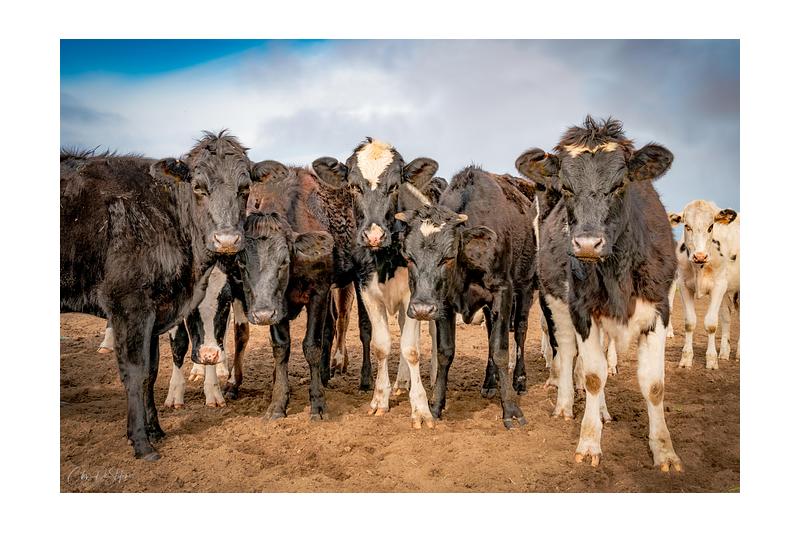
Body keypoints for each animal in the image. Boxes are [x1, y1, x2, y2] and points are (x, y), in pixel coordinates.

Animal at [60, 131, 267, 460]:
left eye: (244, 188)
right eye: (198, 187)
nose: (226, 240)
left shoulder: (156, 311)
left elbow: (151, 370)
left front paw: (155, 429)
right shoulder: (130, 306)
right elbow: (135, 371)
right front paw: (141, 442)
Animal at [313, 138, 439, 429]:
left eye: (394, 186)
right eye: (354, 186)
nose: (373, 235)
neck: (385, 259)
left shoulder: (413, 296)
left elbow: (411, 348)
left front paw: (421, 409)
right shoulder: (366, 290)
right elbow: (382, 345)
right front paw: (380, 398)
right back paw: (401, 382)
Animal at [394, 166, 537, 428]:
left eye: (448, 257)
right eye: (408, 257)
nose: (422, 310)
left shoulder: (503, 291)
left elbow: (500, 350)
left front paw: (511, 409)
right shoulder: (443, 303)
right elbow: (445, 352)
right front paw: (435, 406)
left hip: (526, 285)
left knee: (520, 330)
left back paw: (519, 380)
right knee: (490, 332)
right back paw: (489, 383)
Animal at [516, 116, 682, 471]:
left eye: (621, 184)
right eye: (566, 187)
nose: (587, 244)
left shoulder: (659, 311)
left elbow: (654, 385)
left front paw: (664, 450)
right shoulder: (582, 311)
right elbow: (594, 376)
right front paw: (589, 442)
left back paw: (603, 410)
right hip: (555, 301)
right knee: (567, 351)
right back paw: (565, 403)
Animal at [670, 201, 740, 369]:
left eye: (710, 227)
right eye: (687, 226)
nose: (700, 256)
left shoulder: (719, 286)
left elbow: (711, 324)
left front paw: (711, 360)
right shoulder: (683, 285)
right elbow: (690, 322)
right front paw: (686, 359)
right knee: (726, 317)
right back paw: (724, 353)